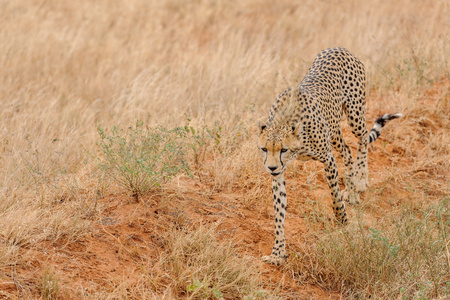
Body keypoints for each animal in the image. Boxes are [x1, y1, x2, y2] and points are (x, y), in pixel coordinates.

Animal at [258, 47, 402, 264]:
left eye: (284, 149)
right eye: (264, 149)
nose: (271, 167)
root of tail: (339, 48)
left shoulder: (327, 158)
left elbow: (334, 194)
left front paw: (342, 218)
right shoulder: (279, 175)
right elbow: (279, 211)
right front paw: (277, 253)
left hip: (354, 114)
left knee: (362, 139)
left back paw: (361, 181)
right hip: (334, 130)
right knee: (347, 152)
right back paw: (351, 189)